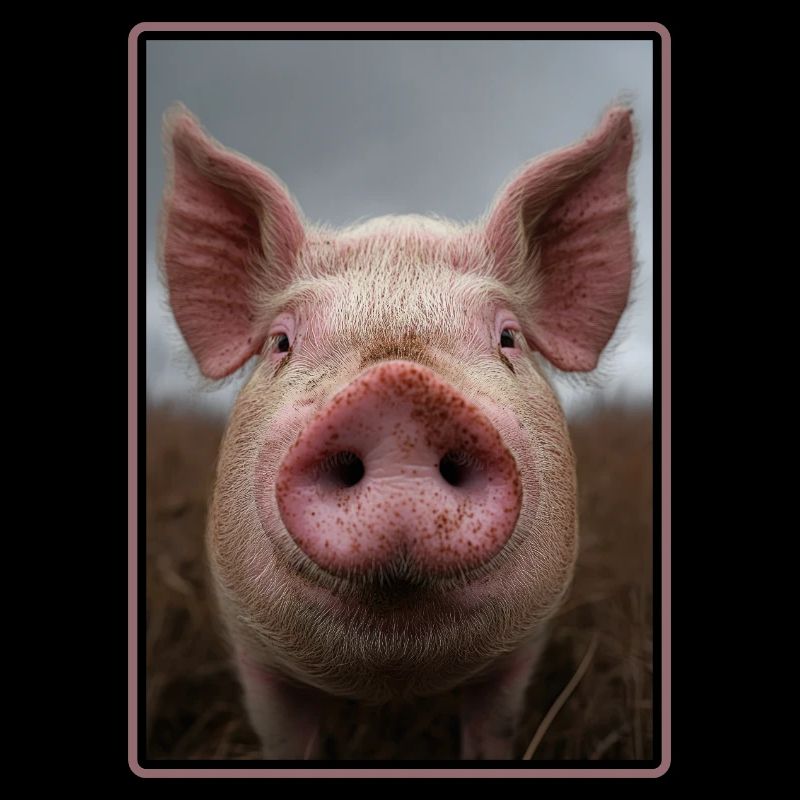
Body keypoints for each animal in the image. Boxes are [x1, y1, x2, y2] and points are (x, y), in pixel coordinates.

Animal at [158, 102, 636, 760]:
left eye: (508, 338)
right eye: (281, 342)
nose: (399, 391)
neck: (394, 677)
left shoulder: (520, 653)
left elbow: (493, 729)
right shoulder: (255, 655)